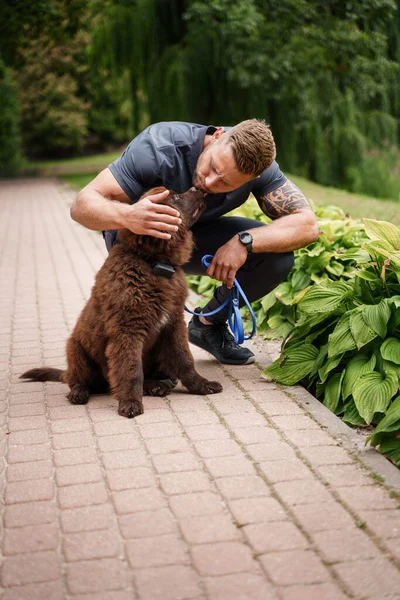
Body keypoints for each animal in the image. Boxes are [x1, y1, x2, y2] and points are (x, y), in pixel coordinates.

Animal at [20, 188, 223, 418]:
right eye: (176, 198)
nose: (199, 189)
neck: (153, 263)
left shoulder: (173, 323)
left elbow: (184, 358)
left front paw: (202, 385)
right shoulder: (127, 329)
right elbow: (131, 369)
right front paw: (130, 403)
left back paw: (156, 385)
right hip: (76, 349)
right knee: (79, 380)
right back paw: (79, 393)